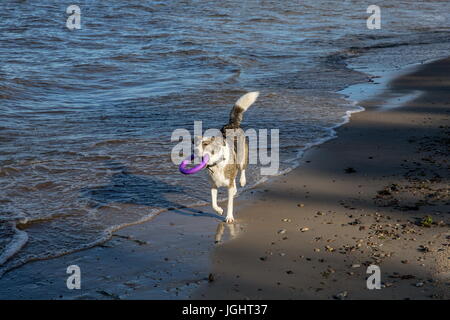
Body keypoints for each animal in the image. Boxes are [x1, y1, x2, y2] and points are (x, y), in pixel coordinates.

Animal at [194, 91, 260, 224]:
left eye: (205, 144)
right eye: (195, 144)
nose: (195, 151)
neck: (216, 164)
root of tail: (231, 124)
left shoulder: (228, 185)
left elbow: (230, 203)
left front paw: (229, 217)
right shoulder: (213, 185)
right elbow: (213, 203)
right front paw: (219, 210)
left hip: (241, 157)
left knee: (242, 169)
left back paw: (242, 181)